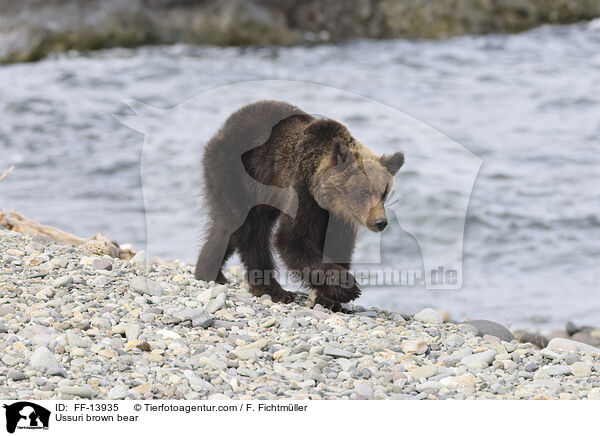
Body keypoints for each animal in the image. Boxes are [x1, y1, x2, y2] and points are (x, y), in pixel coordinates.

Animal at [195, 99, 406, 310]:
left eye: (384, 192)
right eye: (363, 191)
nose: (380, 222)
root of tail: (226, 126)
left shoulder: (338, 217)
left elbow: (338, 245)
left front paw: (329, 298)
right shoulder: (302, 196)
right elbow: (291, 239)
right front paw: (346, 287)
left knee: (228, 230)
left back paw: (209, 272)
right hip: (238, 174)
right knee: (249, 230)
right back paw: (273, 290)